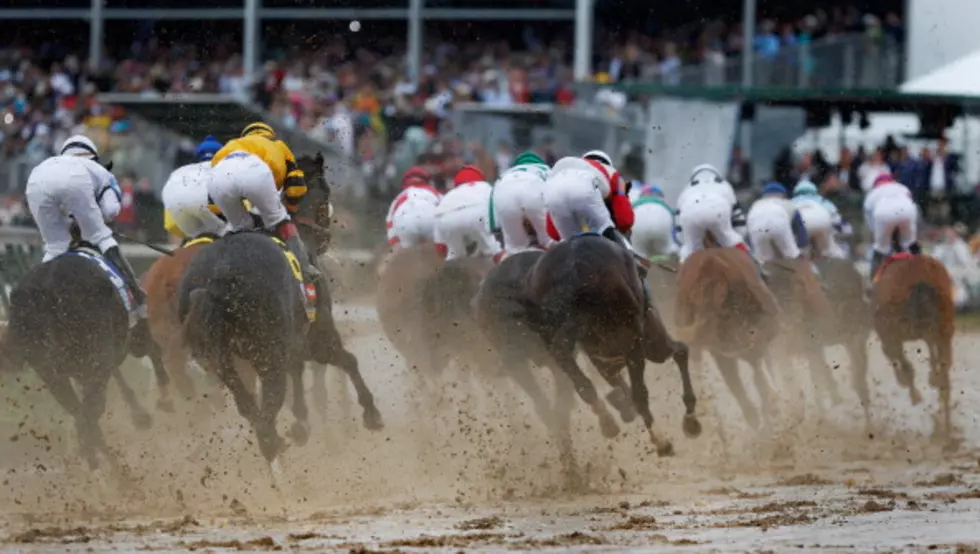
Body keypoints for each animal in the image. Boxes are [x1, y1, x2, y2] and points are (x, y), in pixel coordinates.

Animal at [872, 253, 948, 440]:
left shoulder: (890, 339)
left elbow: (904, 368)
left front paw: (914, 393)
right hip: (943, 329)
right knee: (944, 372)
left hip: (894, 335)